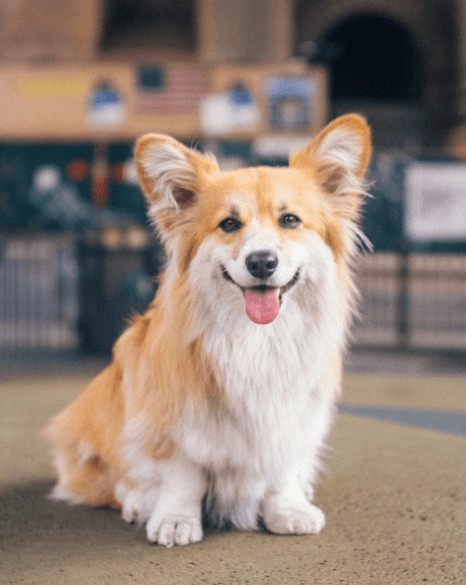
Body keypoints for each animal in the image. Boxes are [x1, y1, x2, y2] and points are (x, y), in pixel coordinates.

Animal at [43, 115, 372, 548]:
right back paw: (136, 502)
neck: (256, 339)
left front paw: (287, 509)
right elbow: (183, 475)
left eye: (290, 220)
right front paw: (175, 520)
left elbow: (282, 469)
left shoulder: (293, 416)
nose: (262, 262)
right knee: (115, 481)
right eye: (229, 224)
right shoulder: (170, 420)